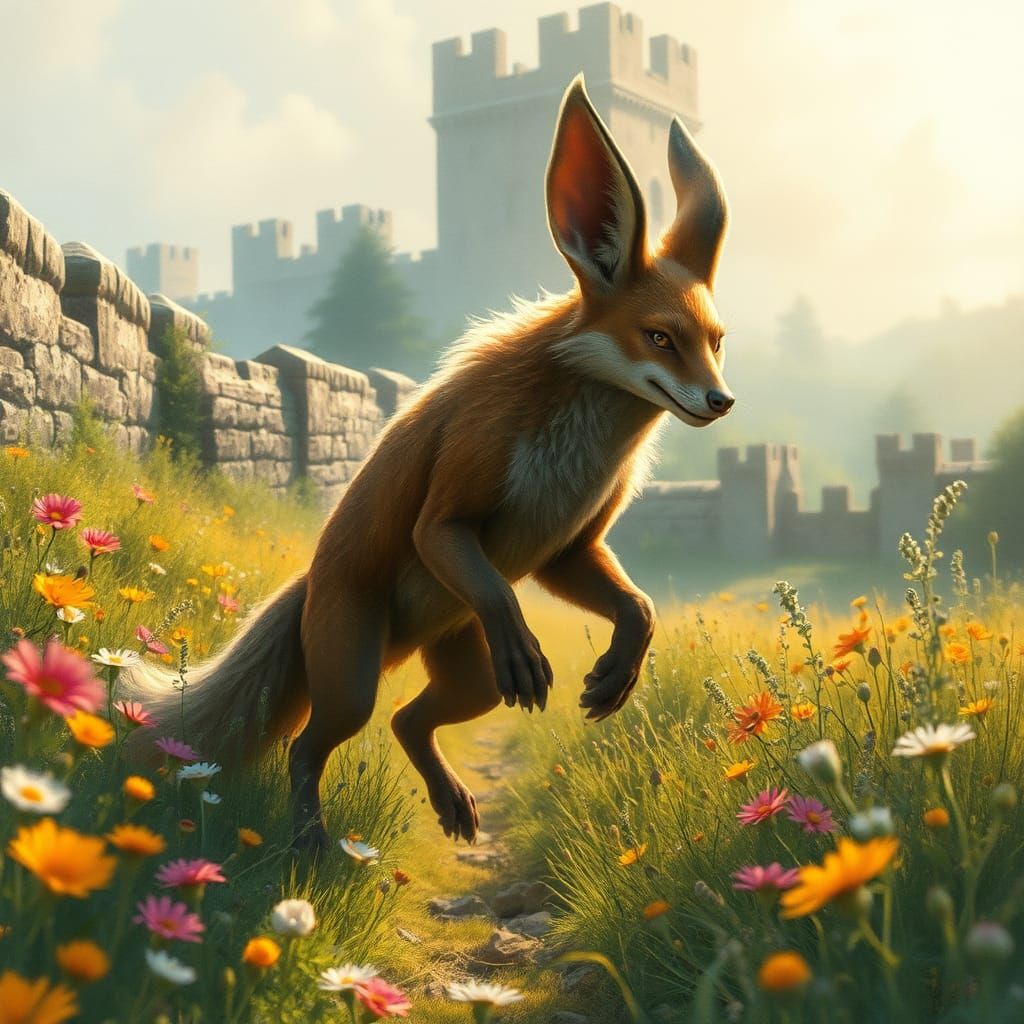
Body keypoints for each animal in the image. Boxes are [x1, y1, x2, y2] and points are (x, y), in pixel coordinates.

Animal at [127, 75, 734, 852]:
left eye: (716, 340)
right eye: (659, 337)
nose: (720, 401)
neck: (582, 445)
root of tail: (309, 584)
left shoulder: (567, 549)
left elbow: (640, 606)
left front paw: (616, 676)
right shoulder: (456, 499)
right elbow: (479, 572)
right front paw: (536, 655)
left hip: (465, 670)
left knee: (406, 719)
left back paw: (451, 805)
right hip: (355, 673)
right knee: (311, 742)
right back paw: (310, 841)